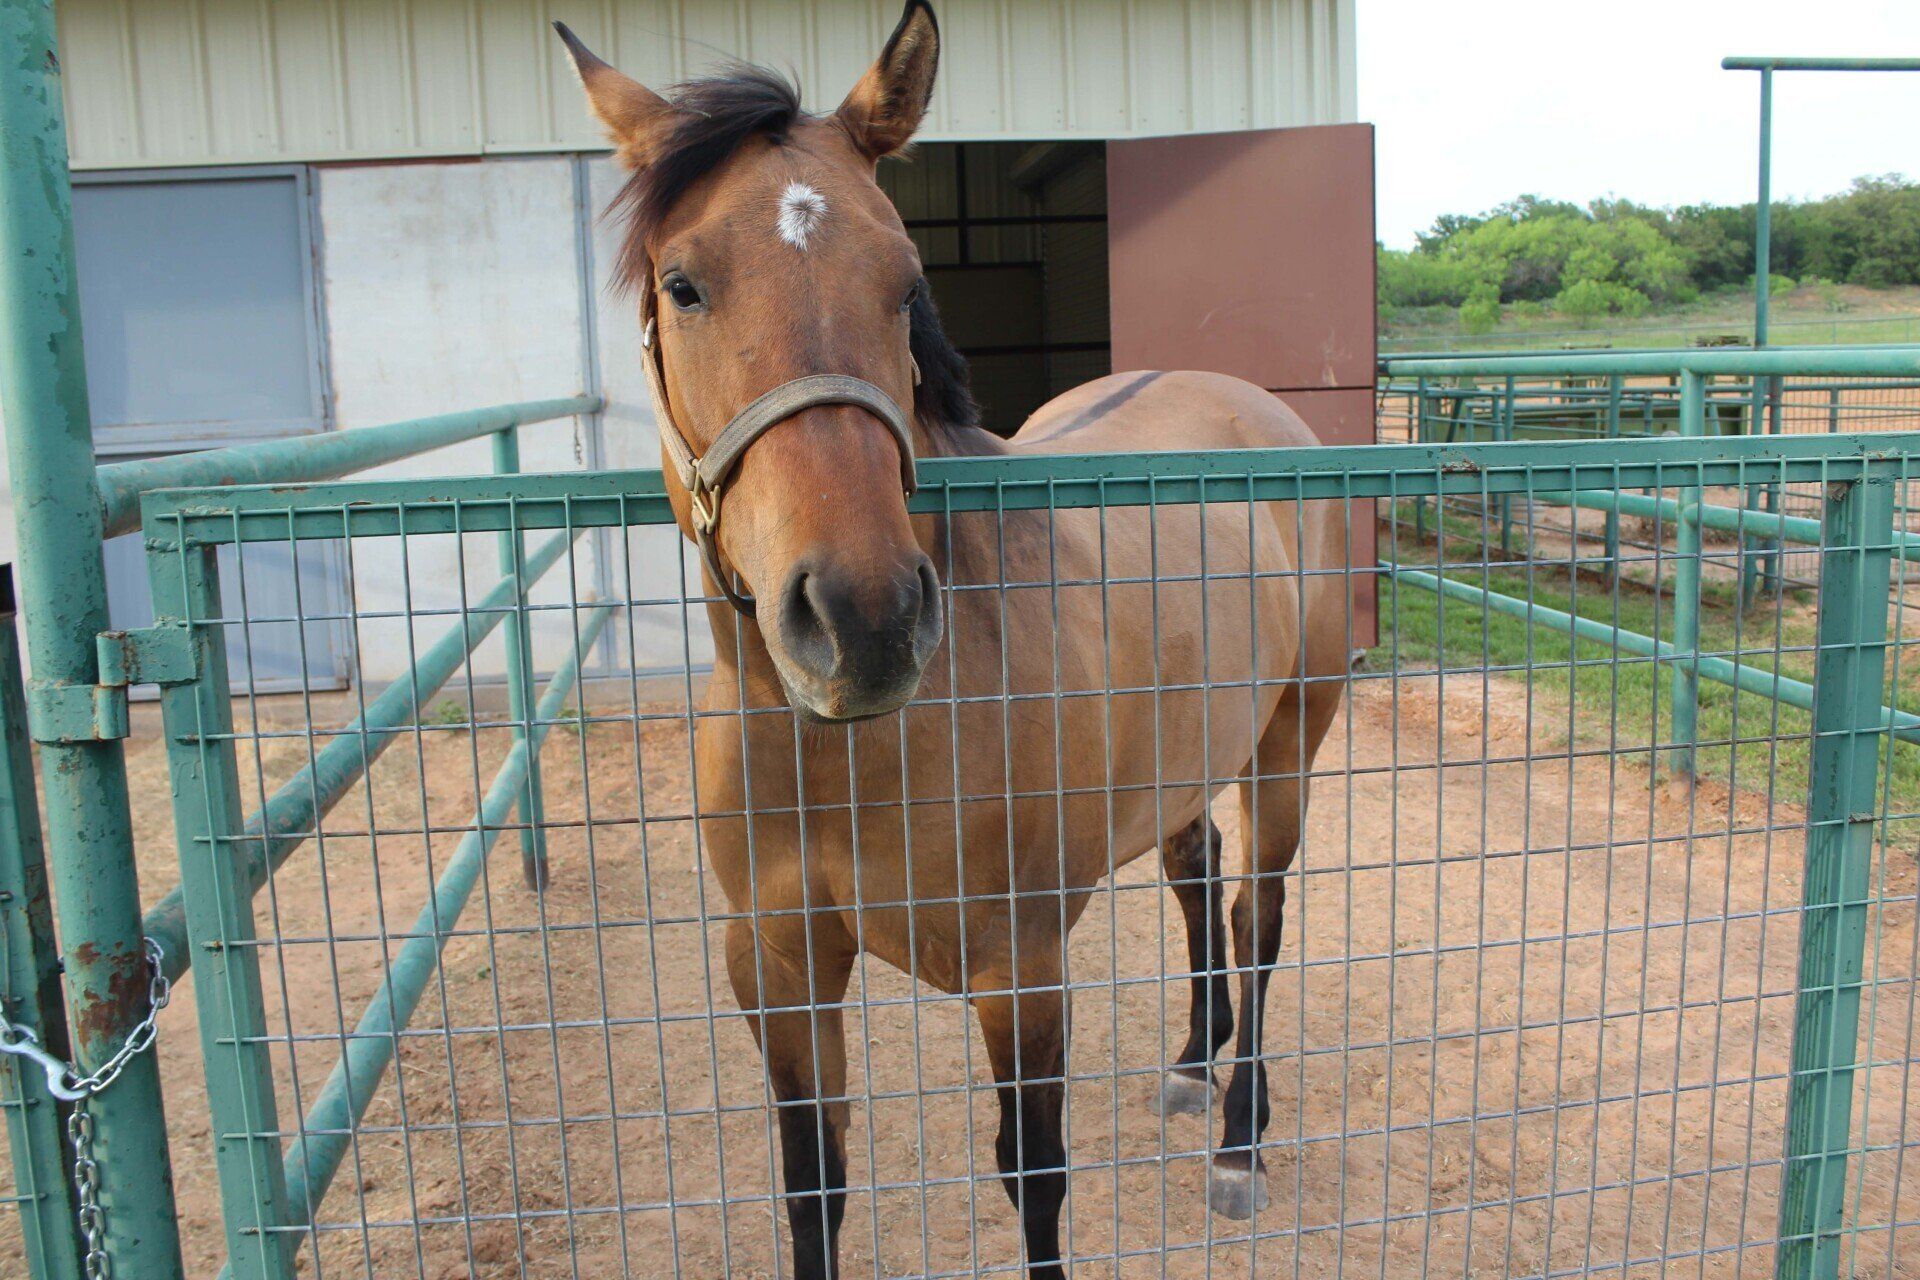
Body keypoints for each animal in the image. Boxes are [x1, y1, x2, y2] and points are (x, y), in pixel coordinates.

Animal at [558, 6, 1349, 1276]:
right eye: (683, 285)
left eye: (905, 281)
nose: (865, 618)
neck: (844, 751)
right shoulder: (777, 967)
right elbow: (812, 1184)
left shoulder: (1017, 970)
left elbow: (1034, 1180)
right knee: (1198, 874)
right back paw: (1193, 1064)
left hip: (1287, 738)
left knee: (1256, 910)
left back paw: (1239, 1138)